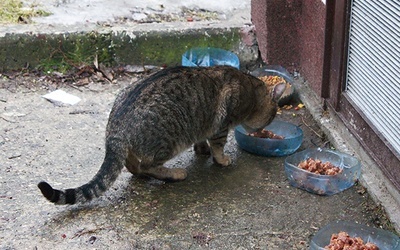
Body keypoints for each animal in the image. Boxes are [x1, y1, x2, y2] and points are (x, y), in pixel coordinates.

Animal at [37, 65, 286, 204]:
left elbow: (203, 140)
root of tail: (115, 129)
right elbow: (218, 145)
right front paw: (221, 159)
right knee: (147, 165)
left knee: (131, 164)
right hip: (169, 140)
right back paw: (174, 174)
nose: (262, 129)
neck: (252, 88)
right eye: (272, 116)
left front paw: (202, 150)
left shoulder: (205, 124)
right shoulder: (222, 124)